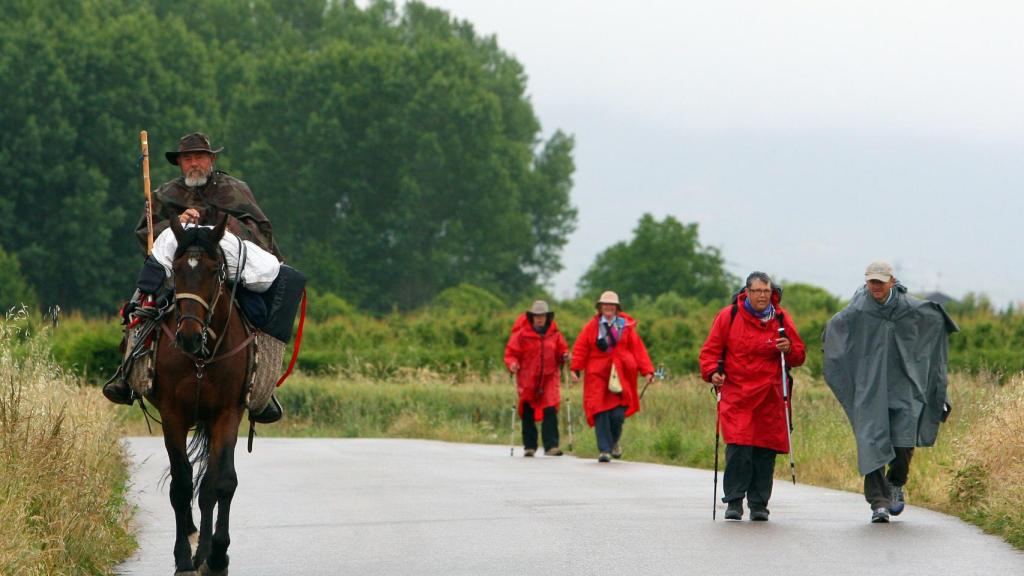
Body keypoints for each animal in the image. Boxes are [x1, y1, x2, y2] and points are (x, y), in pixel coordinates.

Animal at [153, 213, 253, 569]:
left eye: (213, 270)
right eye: (176, 268)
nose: (188, 337)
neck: (201, 358)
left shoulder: (226, 414)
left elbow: (219, 484)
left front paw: (217, 554)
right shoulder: (173, 415)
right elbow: (182, 485)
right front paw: (183, 557)